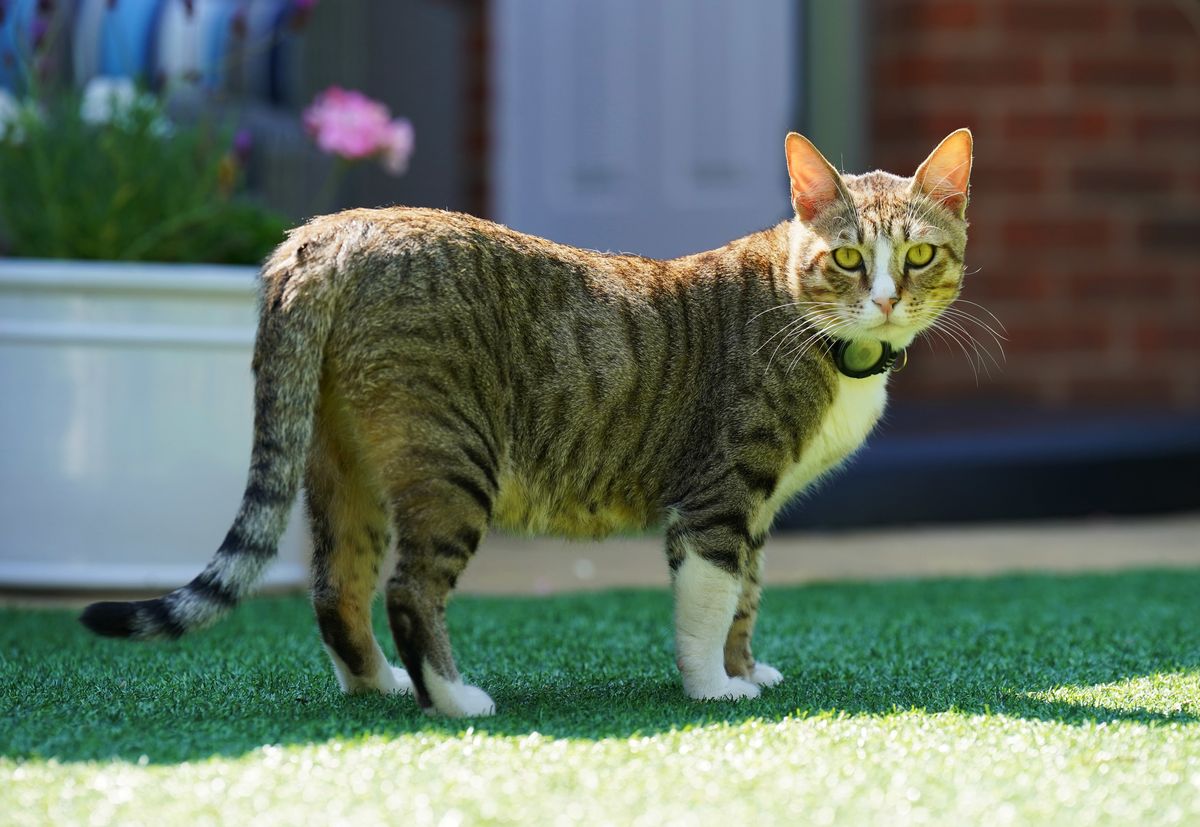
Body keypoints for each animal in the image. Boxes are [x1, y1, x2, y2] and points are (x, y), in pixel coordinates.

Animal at [77, 127, 974, 715]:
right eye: (848, 258)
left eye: (919, 255)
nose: (886, 299)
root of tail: (331, 232)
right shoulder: (721, 491)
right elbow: (714, 597)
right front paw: (714, 688)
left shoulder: (755, 508)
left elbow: (747, 595)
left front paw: (745, 669)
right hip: (451, 456)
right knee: (408, 588)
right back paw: (454, 698)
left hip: (342, 459)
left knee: (338, 584)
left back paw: (378, 684)